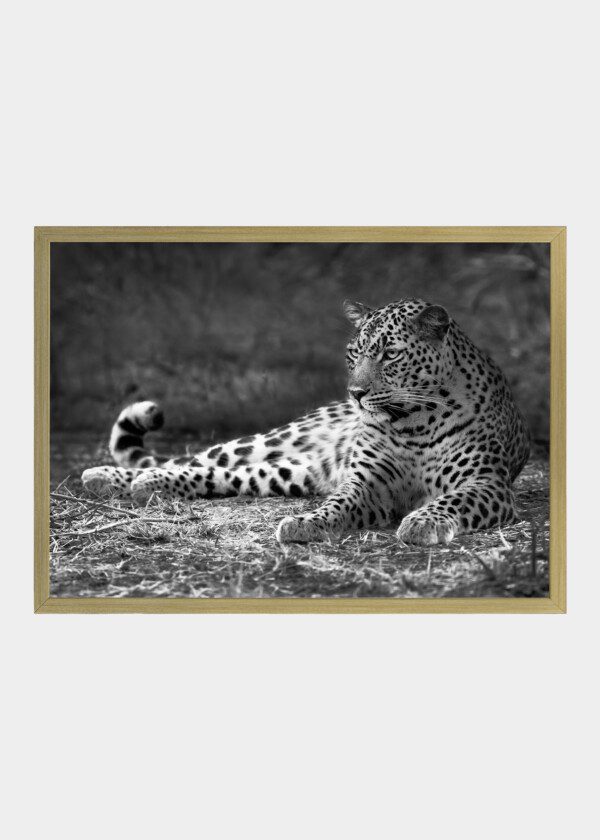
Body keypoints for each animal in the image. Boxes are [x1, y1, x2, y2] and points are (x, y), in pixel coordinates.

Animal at [81, 297, 530, 546]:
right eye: (354, 352)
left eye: (391, 354)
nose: (356, 394)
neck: (414, 421)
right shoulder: (366, 482)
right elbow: (339, 503)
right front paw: (307, 522)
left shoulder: (487, 483)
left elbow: (451, 499)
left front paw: (422, 522)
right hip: (272, 441)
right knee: (193, 460)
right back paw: (109, 476)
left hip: (293, 473)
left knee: (223, 475)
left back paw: (143, 484)